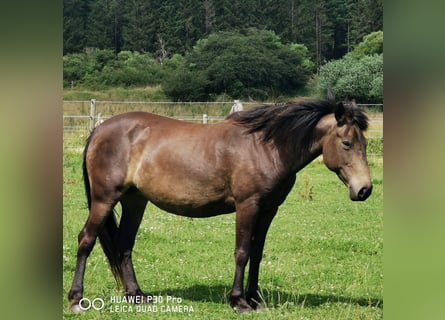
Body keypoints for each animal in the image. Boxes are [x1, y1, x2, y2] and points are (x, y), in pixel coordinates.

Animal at [67, 98, 372, 312]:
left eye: (365, 144)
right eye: (346, 143)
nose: (364, 189)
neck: (266, 147)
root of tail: (99, 130)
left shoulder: (268, 210)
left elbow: (257, 253)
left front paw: (255, 299)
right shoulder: (248, 206)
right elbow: (242, 252)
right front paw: (239, 301)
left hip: (135, 201)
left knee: (124, 245)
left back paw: (136, 296)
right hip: (104, 200)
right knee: (86, 240)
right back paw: (76, 299)